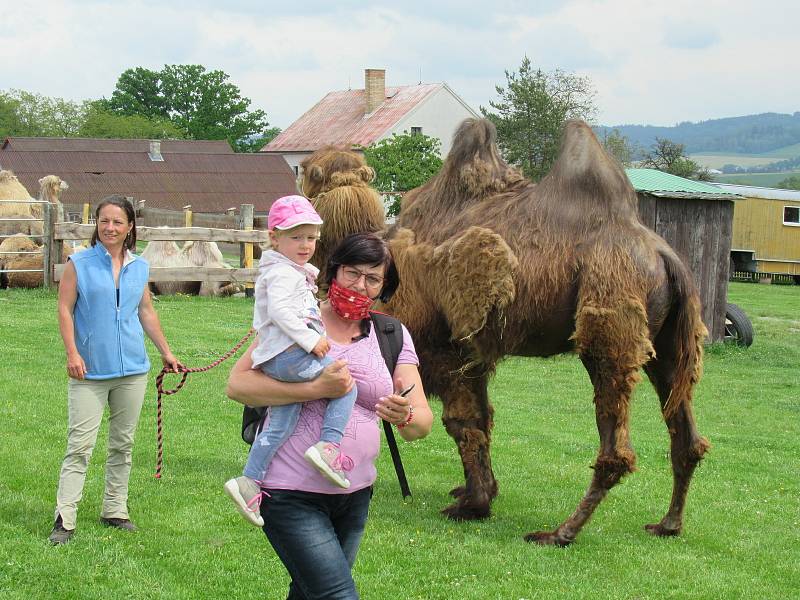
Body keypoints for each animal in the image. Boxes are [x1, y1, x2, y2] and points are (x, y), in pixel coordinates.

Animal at [304, 118, 708, 548]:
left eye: (306, 170)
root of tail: (663, 256)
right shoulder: (473, 353)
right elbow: (483, 419)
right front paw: (476, 492)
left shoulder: (444, 348)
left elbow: (461, 423)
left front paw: (473, 505)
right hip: (667, 342)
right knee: (685, 436)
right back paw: (668, 524)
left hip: (609, 320)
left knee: (616, 445)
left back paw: (560, 532)